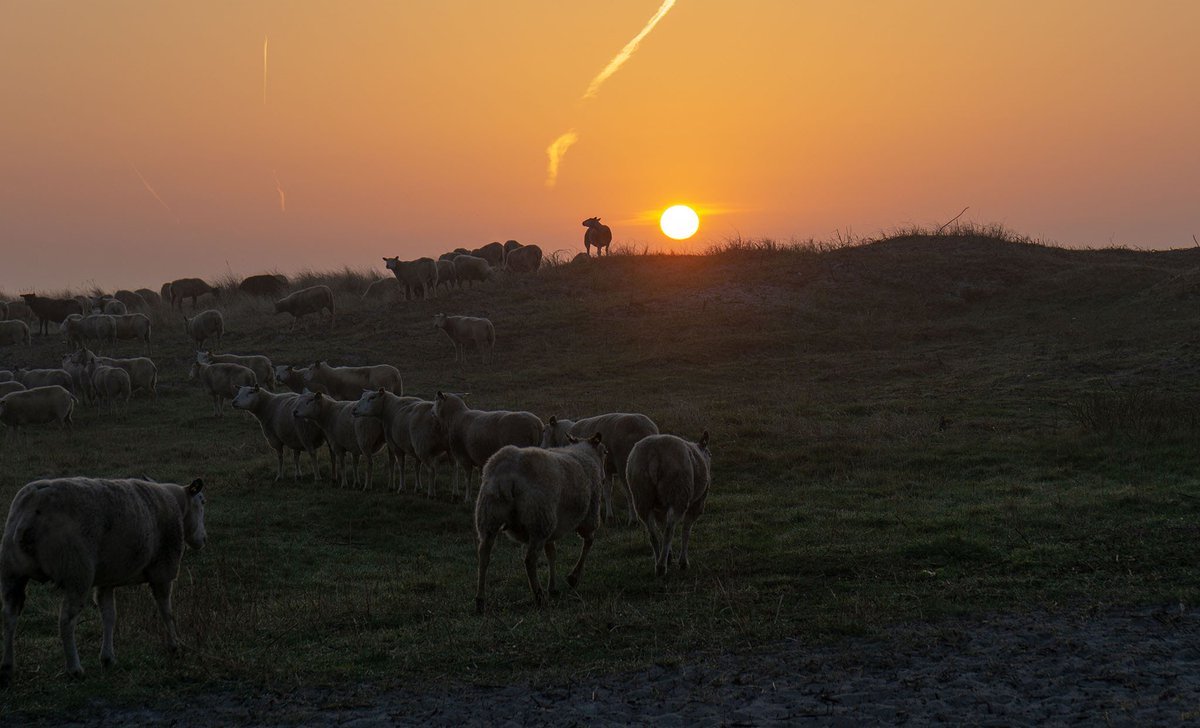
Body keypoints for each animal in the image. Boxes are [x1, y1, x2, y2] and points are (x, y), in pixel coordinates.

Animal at [0, 477, 206, 683]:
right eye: (202, 502)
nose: (204, 539)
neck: (177, 505)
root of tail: (35, 500)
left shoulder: (107, 580)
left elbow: (109, 615)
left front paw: (107, 658)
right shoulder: (163, 569)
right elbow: (166, 611)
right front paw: (175, 646)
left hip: (12, 571)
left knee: (10, 615)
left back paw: (8, 667)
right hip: (77, 571)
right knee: (66, 620)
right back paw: (74, 668)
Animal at [473, 433, 606, 613]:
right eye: (605, 453)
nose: (604, 479)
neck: (583, 451)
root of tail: (508, 470)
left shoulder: (552, 529)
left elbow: (552, 554)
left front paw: (553, 587)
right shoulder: (589, 515)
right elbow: (588, 542)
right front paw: (573, 578)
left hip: (489, 515)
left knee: (484, 555)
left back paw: (480, 600)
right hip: (540, 519)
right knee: (530, 560)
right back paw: (539, 596)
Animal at [625, 432, 712, 577]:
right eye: (710, 455)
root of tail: (654, 454)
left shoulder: (659, 508)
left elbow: (662, 525)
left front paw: (669, 556)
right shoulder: (697, 503)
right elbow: (686, 531)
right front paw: (683, 562)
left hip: (641, 495)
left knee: (653, 534)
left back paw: (658, 562)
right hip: (678, 493)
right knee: (669, 531)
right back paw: (661, 567)